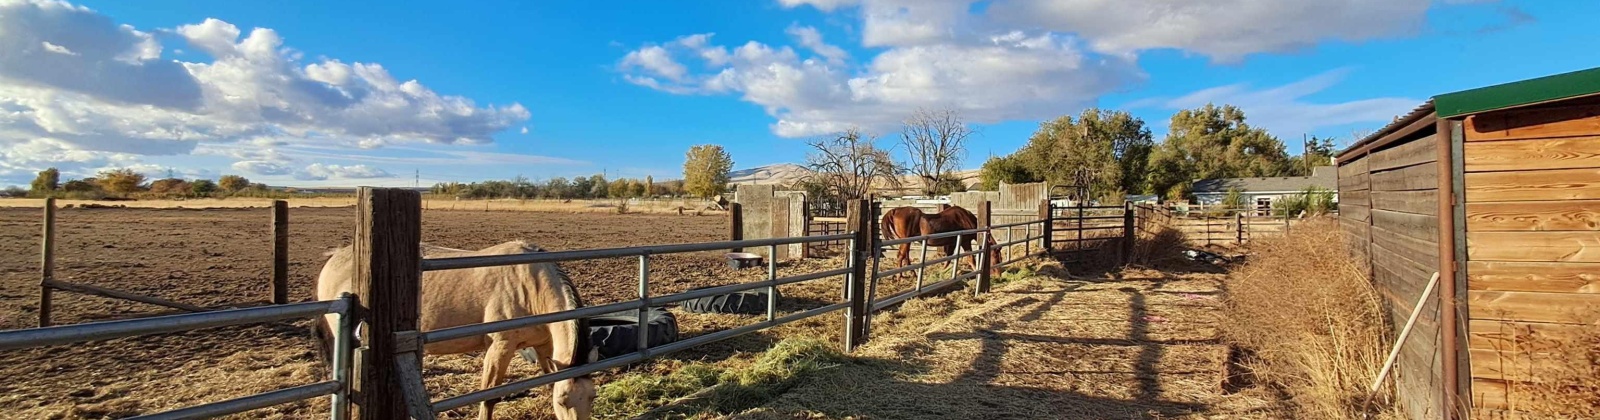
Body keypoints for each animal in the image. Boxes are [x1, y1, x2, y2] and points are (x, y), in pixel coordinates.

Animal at [312, 238, 595, 420]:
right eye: (563, 401)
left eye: (592, 398)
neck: (532, 285)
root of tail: (335, 257)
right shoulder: (500, 348)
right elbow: (489, 397)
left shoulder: (544, 346)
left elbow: (548, 381)